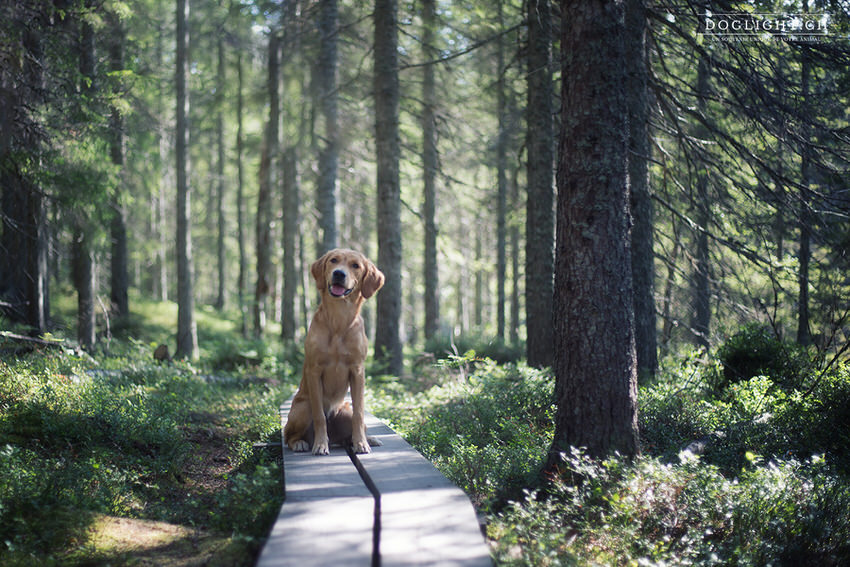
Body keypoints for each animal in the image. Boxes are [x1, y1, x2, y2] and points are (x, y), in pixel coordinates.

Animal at [282, 251, 384, 454]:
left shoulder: (357, 370)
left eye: (355, 265)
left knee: (351, 430)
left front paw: (361, 443)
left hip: (345, 410)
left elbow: (359, 414)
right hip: (302, 409)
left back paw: (366, 439)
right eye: (333, 260)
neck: (339, 320)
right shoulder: (314, 370)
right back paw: (300, 443)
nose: (339, 274)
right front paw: (320, 445)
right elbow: (319, 416)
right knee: (288, 435)